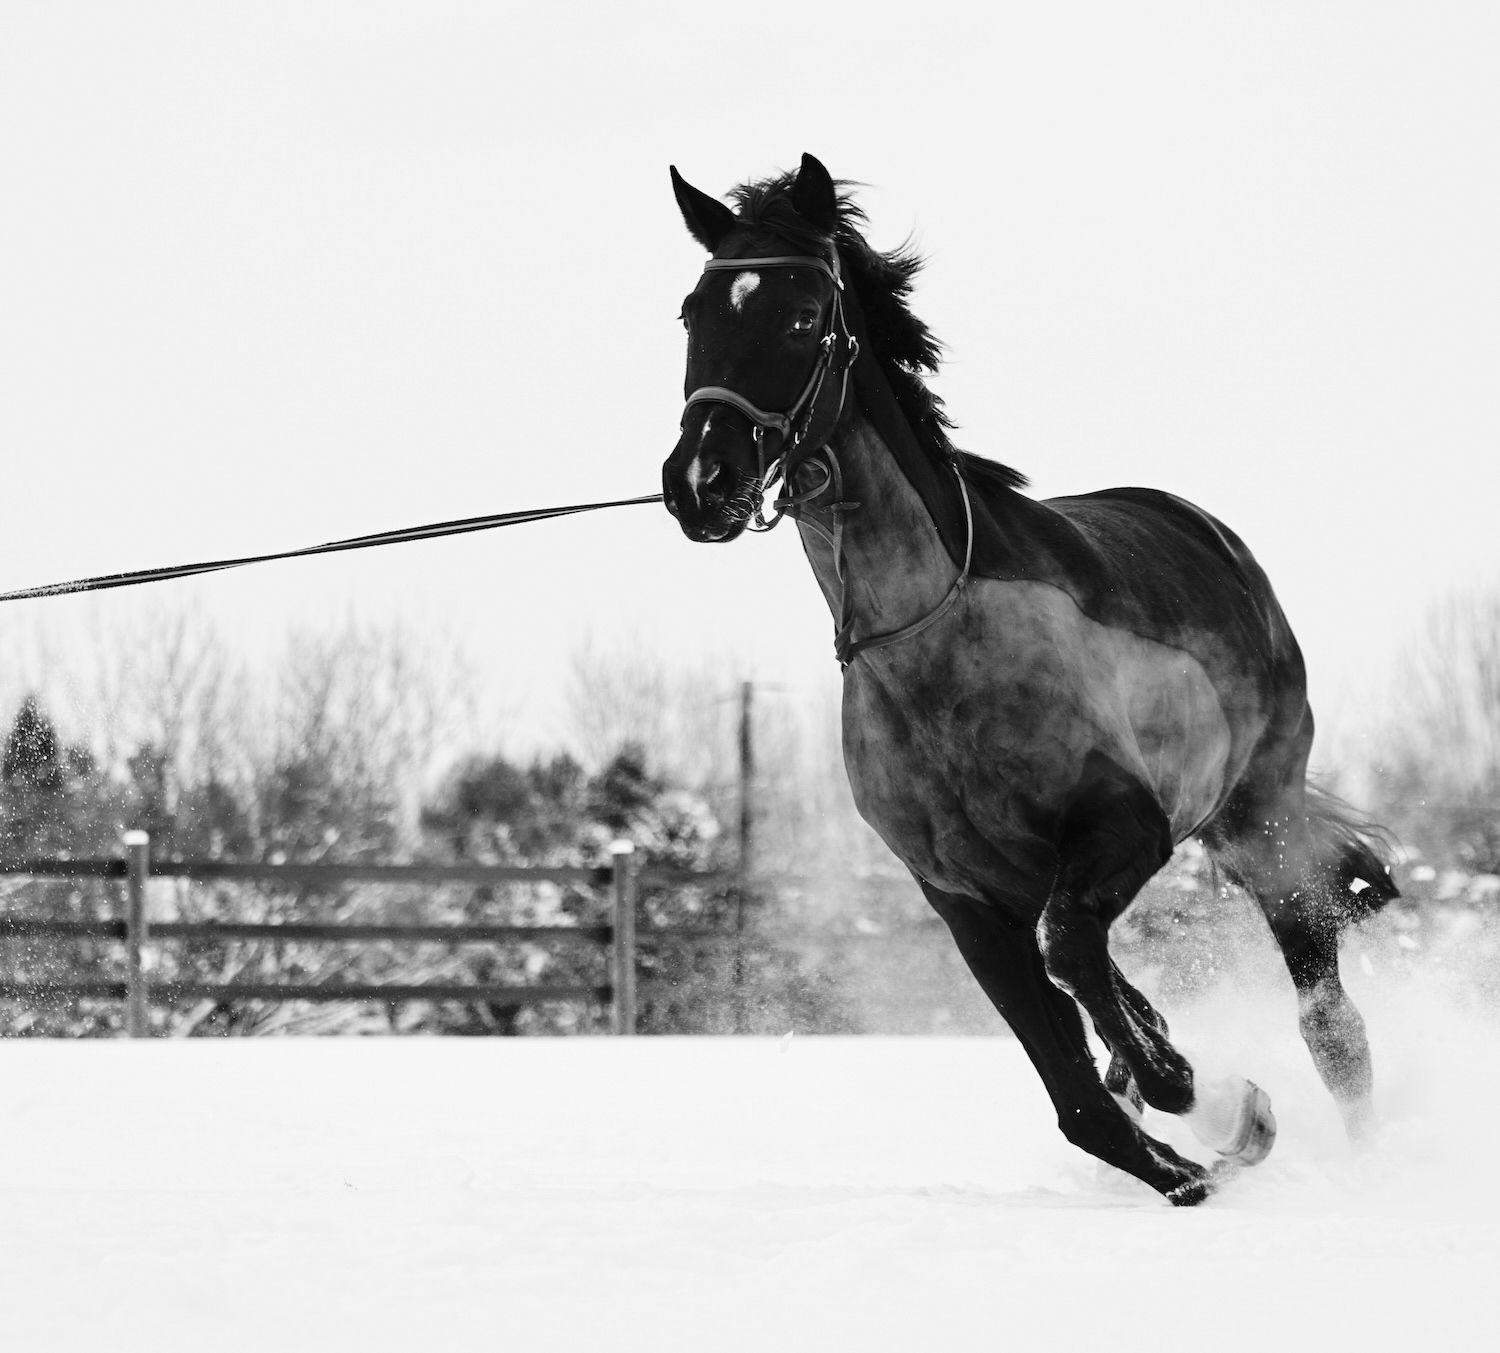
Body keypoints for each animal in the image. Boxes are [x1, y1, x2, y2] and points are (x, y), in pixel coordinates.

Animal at [660, 154, 1397, 1205]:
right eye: (694, 310)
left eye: (802, 317)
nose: (701, 481)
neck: (934, 646)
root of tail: (1216, 539)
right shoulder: (962, 898)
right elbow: (1078, 1091)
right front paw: (1196, 1138)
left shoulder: (1124, 826)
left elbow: (1075, 958)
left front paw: (1206, 1098)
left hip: (1263, 819)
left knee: (1328, 1017)